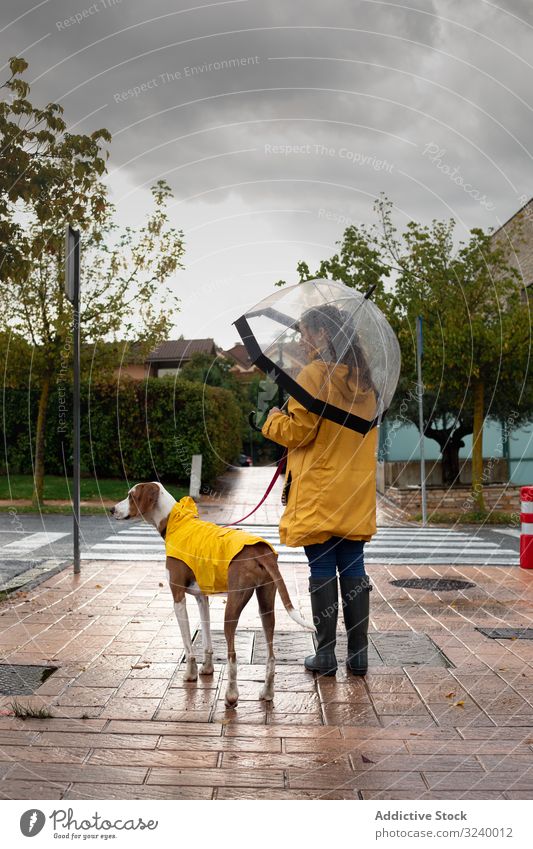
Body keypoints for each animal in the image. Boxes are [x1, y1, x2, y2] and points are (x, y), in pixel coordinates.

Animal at [110, 480, 314, 704]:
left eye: (131, 496)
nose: (111, 510)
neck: (176, 522)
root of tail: (261, 551)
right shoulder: (202, 598)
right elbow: (206, 638)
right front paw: (207, 668)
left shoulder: (178, 598)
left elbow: (188, 644)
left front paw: (190, 674)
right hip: (266, 606)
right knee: (271, 656)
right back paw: (267, 693)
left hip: (232, 608)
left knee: (233, 657)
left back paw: (231, 695)